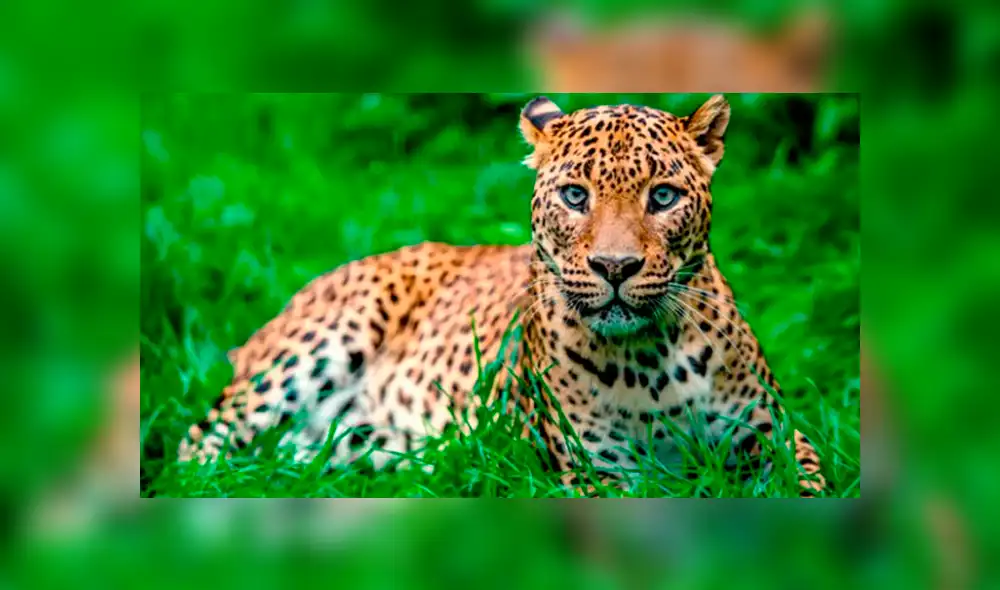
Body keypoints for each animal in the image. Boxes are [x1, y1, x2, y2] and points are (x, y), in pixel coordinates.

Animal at [177, 94, 827, 497]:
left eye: (663, 196)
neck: (651, 364)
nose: (615, 267)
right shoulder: (598, 472)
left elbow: (808, 488)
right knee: (197, 445)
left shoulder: (780, 439)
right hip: (315, 347)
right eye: (574, 195)